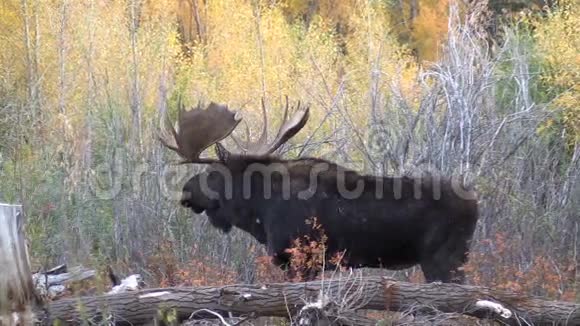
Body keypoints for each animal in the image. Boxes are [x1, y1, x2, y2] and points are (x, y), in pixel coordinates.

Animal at [159, 98, 476, 282]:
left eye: (212, 174)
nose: (186, 191)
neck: (259, 211)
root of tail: (476, 203)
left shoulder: (300, 261)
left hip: (444, 260)